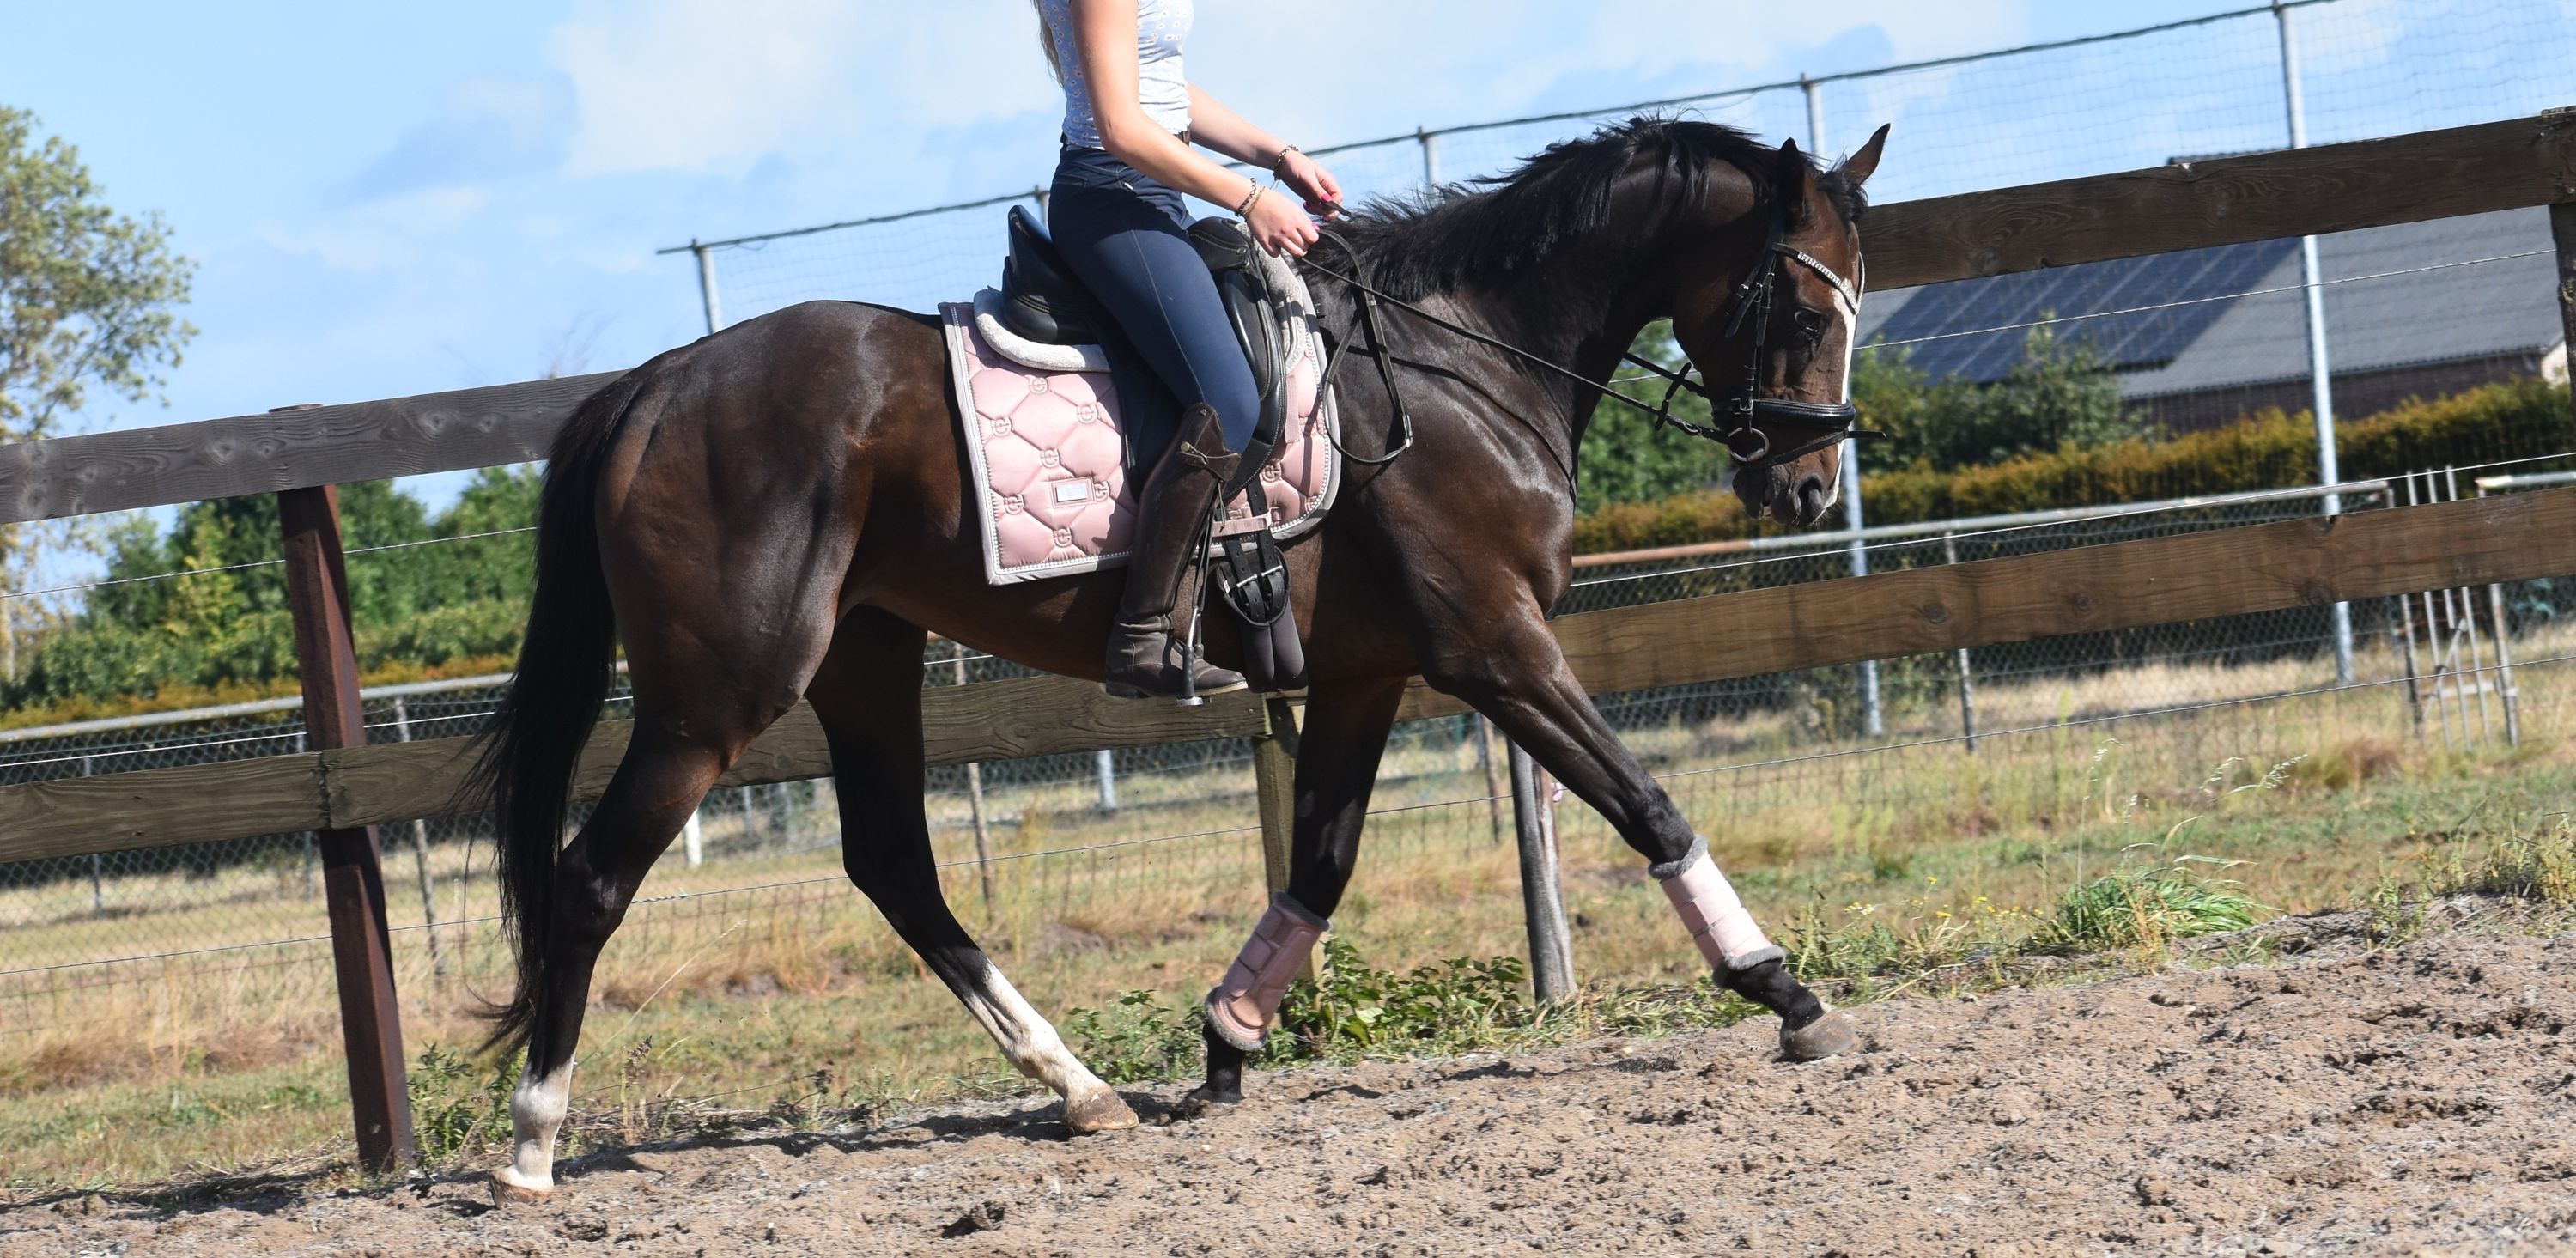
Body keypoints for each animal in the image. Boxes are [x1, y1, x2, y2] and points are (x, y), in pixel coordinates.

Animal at [472, 115, 1889, 1200]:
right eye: (1802, 298)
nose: (1810, 486)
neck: (1459, 364)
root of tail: (652, 386)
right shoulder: (1494, 646)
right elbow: (1649, 806)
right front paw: (1783, 990)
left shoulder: (1368, 673)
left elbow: (1318, 867)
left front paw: (1225, 1043)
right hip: (718, 695)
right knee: (592, 879)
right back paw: (531, 1147)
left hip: (865, 660)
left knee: (893, 867)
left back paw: (1079, 1087)